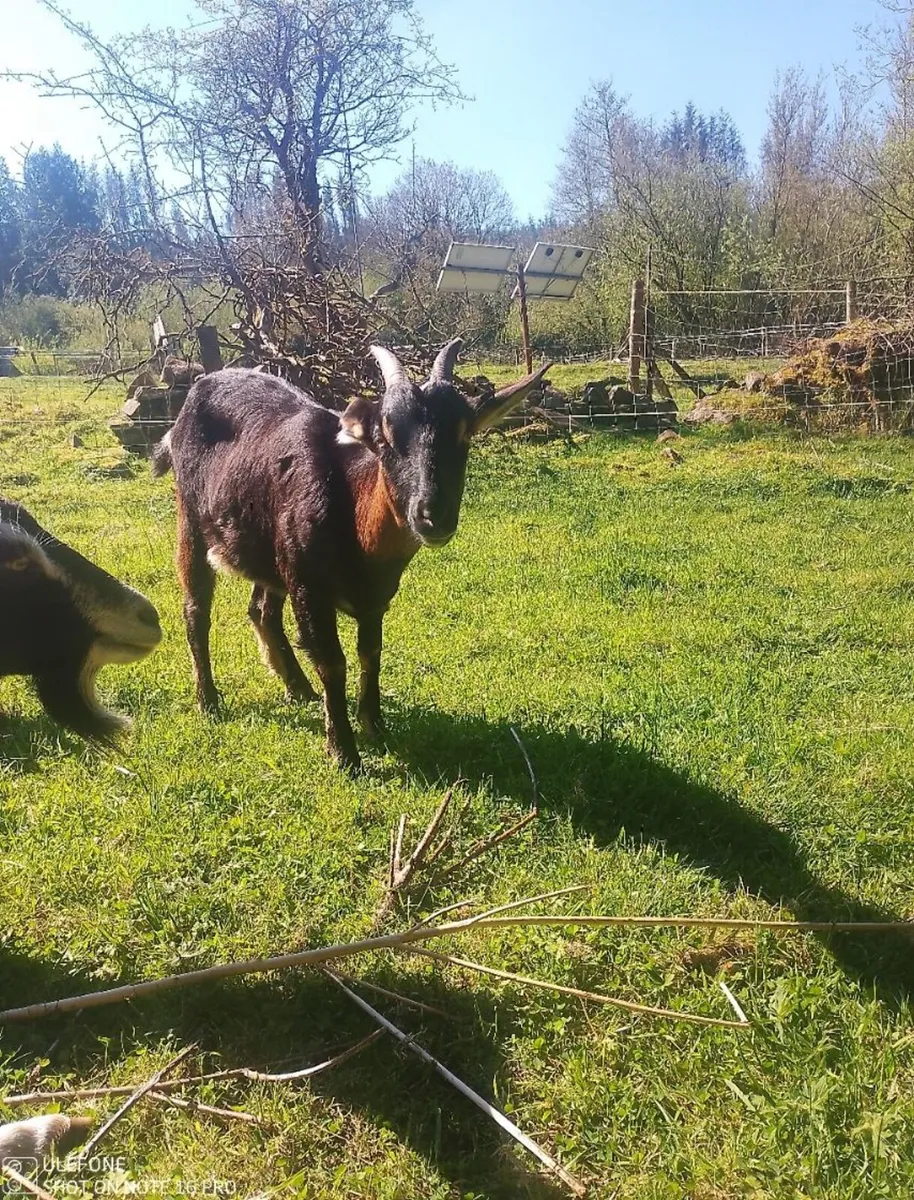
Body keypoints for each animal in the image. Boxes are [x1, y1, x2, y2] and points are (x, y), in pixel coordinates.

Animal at [152, 340, 549, 771]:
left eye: (464, 436)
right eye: (387, 438)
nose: (432, 515)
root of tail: (195, 394)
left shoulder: (376, 596)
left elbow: (370, 653)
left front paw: (374, 723)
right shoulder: (309, 589)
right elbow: (332, 661)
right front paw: (343, 751)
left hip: (270, 552)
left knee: (261, 611)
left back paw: (298, 688)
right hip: (192, 520)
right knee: (196, 611)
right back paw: (208, 700)